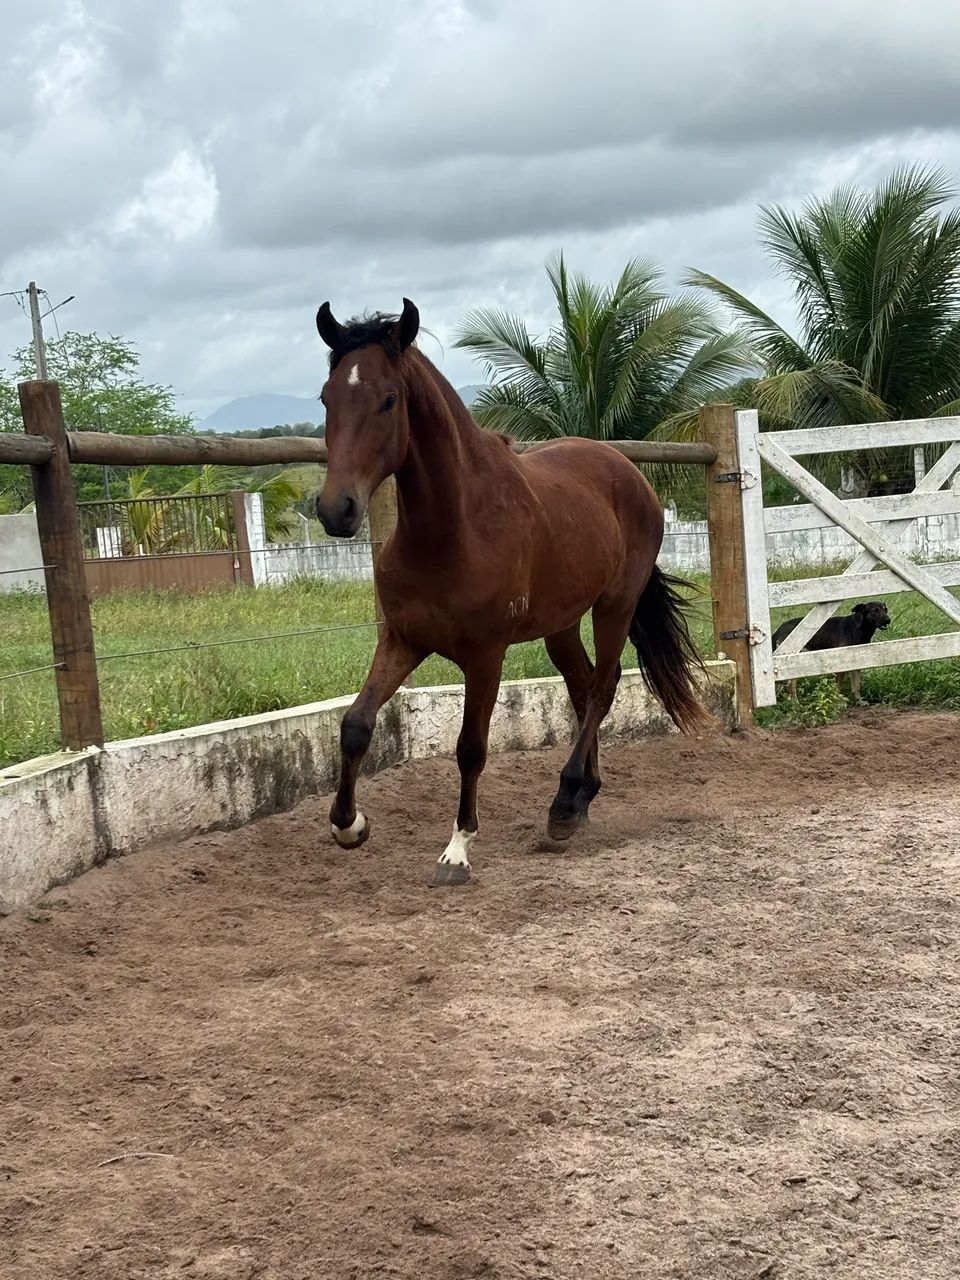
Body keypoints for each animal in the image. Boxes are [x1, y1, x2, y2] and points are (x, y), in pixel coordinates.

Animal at [314, 298, 709, 886]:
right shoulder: (403, 641)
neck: (453, 532)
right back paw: (582, 798)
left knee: (603, 688)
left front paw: (457, 851)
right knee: (581, 686)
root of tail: (629, 471)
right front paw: (349, 825)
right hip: (562, 624)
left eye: (389, 400)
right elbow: (356, 724)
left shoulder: (486, 656)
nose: (334, 510)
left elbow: (470, 748)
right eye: (327, 397)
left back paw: (564, 804)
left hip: (614, 606)